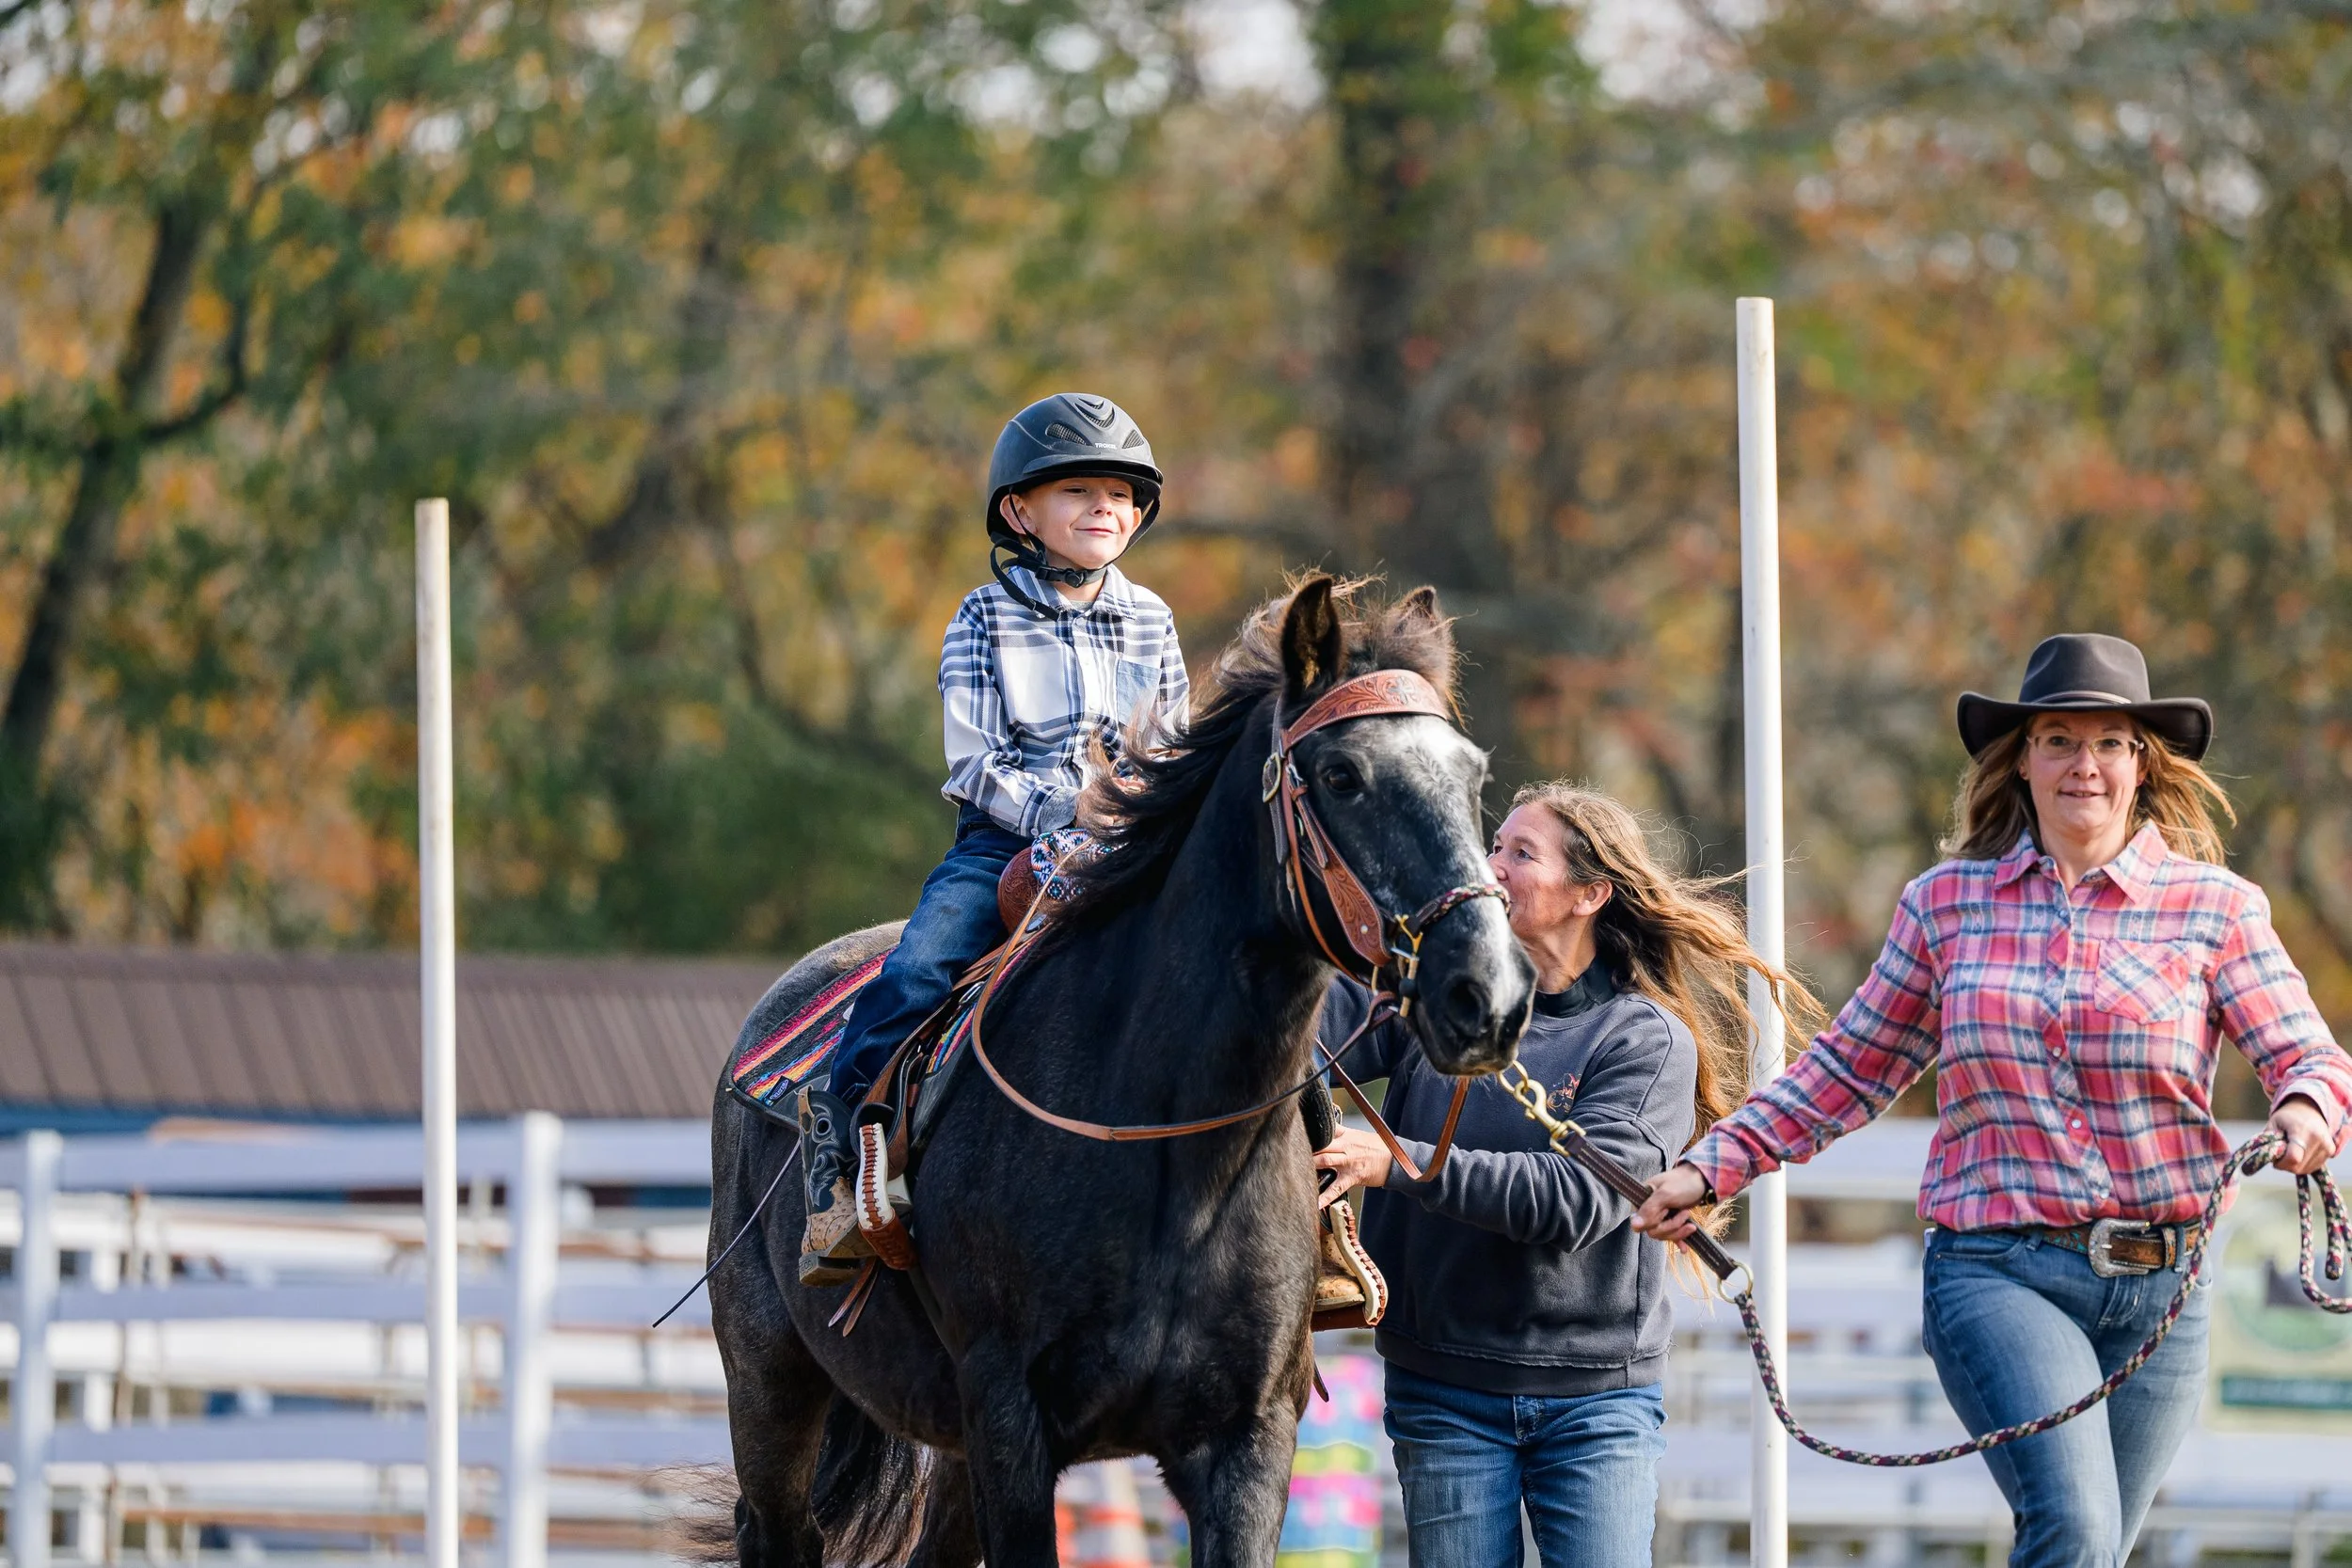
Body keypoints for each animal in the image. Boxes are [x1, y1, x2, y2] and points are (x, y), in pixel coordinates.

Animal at [698, 576, 1535, 1568]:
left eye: (1473, 776)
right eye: (1341, 775)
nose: (1488, 992)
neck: (1169, 1147)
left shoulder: (1248, 1441)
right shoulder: (1011, 1423)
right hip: (771, 1386)